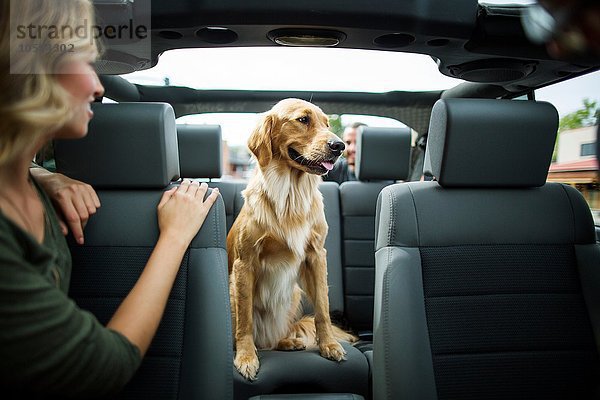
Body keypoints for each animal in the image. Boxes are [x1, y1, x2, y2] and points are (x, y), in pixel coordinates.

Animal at [227, 98, 354, 380]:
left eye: (327, 124)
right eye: (303, 120)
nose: (339, 146)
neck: (290, 195)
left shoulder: (316, 255)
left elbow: (322, 309)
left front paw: (329, 345)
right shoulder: (244, 263)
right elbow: (245, 320)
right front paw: (246, 357)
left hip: (293, 294)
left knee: (277, 336)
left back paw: (287, 341)